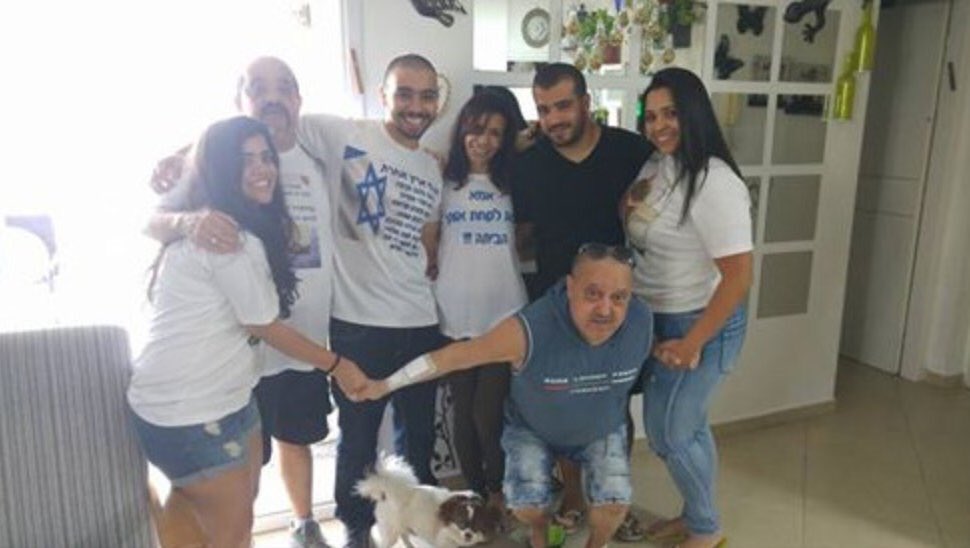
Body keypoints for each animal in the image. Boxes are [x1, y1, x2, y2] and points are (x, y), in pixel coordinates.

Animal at [356, 454, 501, 547]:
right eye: (461, 522)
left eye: (476, 524)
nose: (468, 534)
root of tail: (386, 493)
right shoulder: (444, 542)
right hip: (391, 532)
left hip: (401, 526)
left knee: (404, 536)